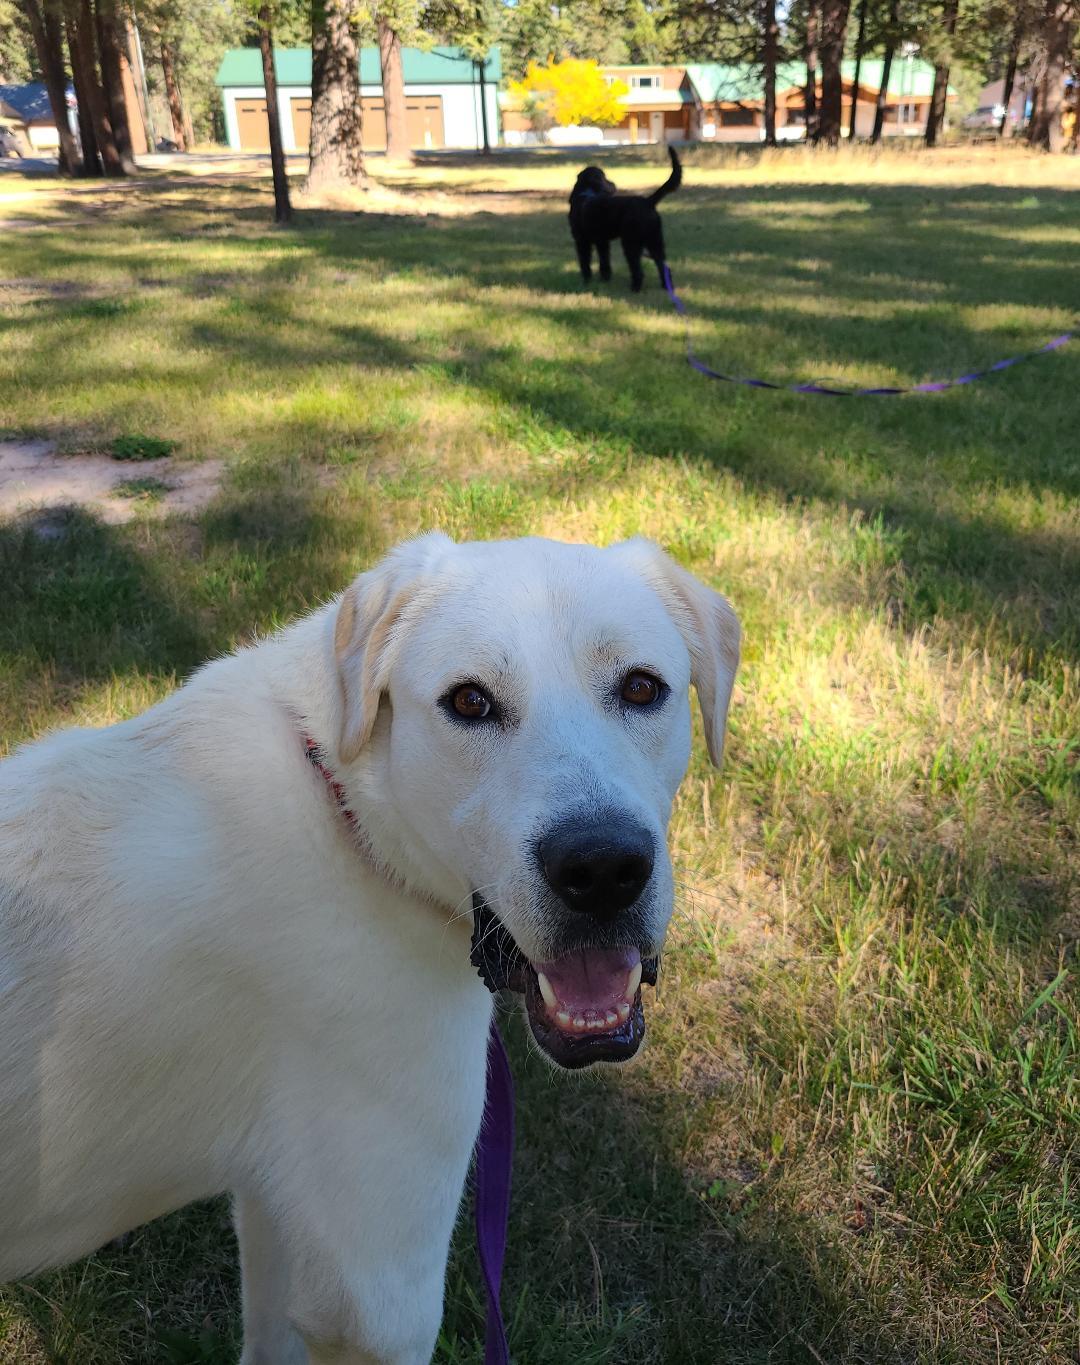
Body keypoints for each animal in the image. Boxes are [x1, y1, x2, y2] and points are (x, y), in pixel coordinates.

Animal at [0, 532, 737, 1365]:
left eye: (642, 688)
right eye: (470, 701)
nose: (603, 869)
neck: (347, 814)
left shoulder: (282, 1218)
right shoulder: (382, 1291)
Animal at [565, 146, 685, 290]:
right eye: (604, 177)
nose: (613, 183)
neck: (586, 192)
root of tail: (647, 202)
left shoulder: (582, 241)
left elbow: (585, 262)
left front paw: (586, 281)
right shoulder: (602, 242)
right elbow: (604, 262)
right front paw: (605, 279)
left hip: (631, 241)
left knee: (638, 269)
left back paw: (635, 288)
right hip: (654, 240)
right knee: (662, 265)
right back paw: (666, 287)